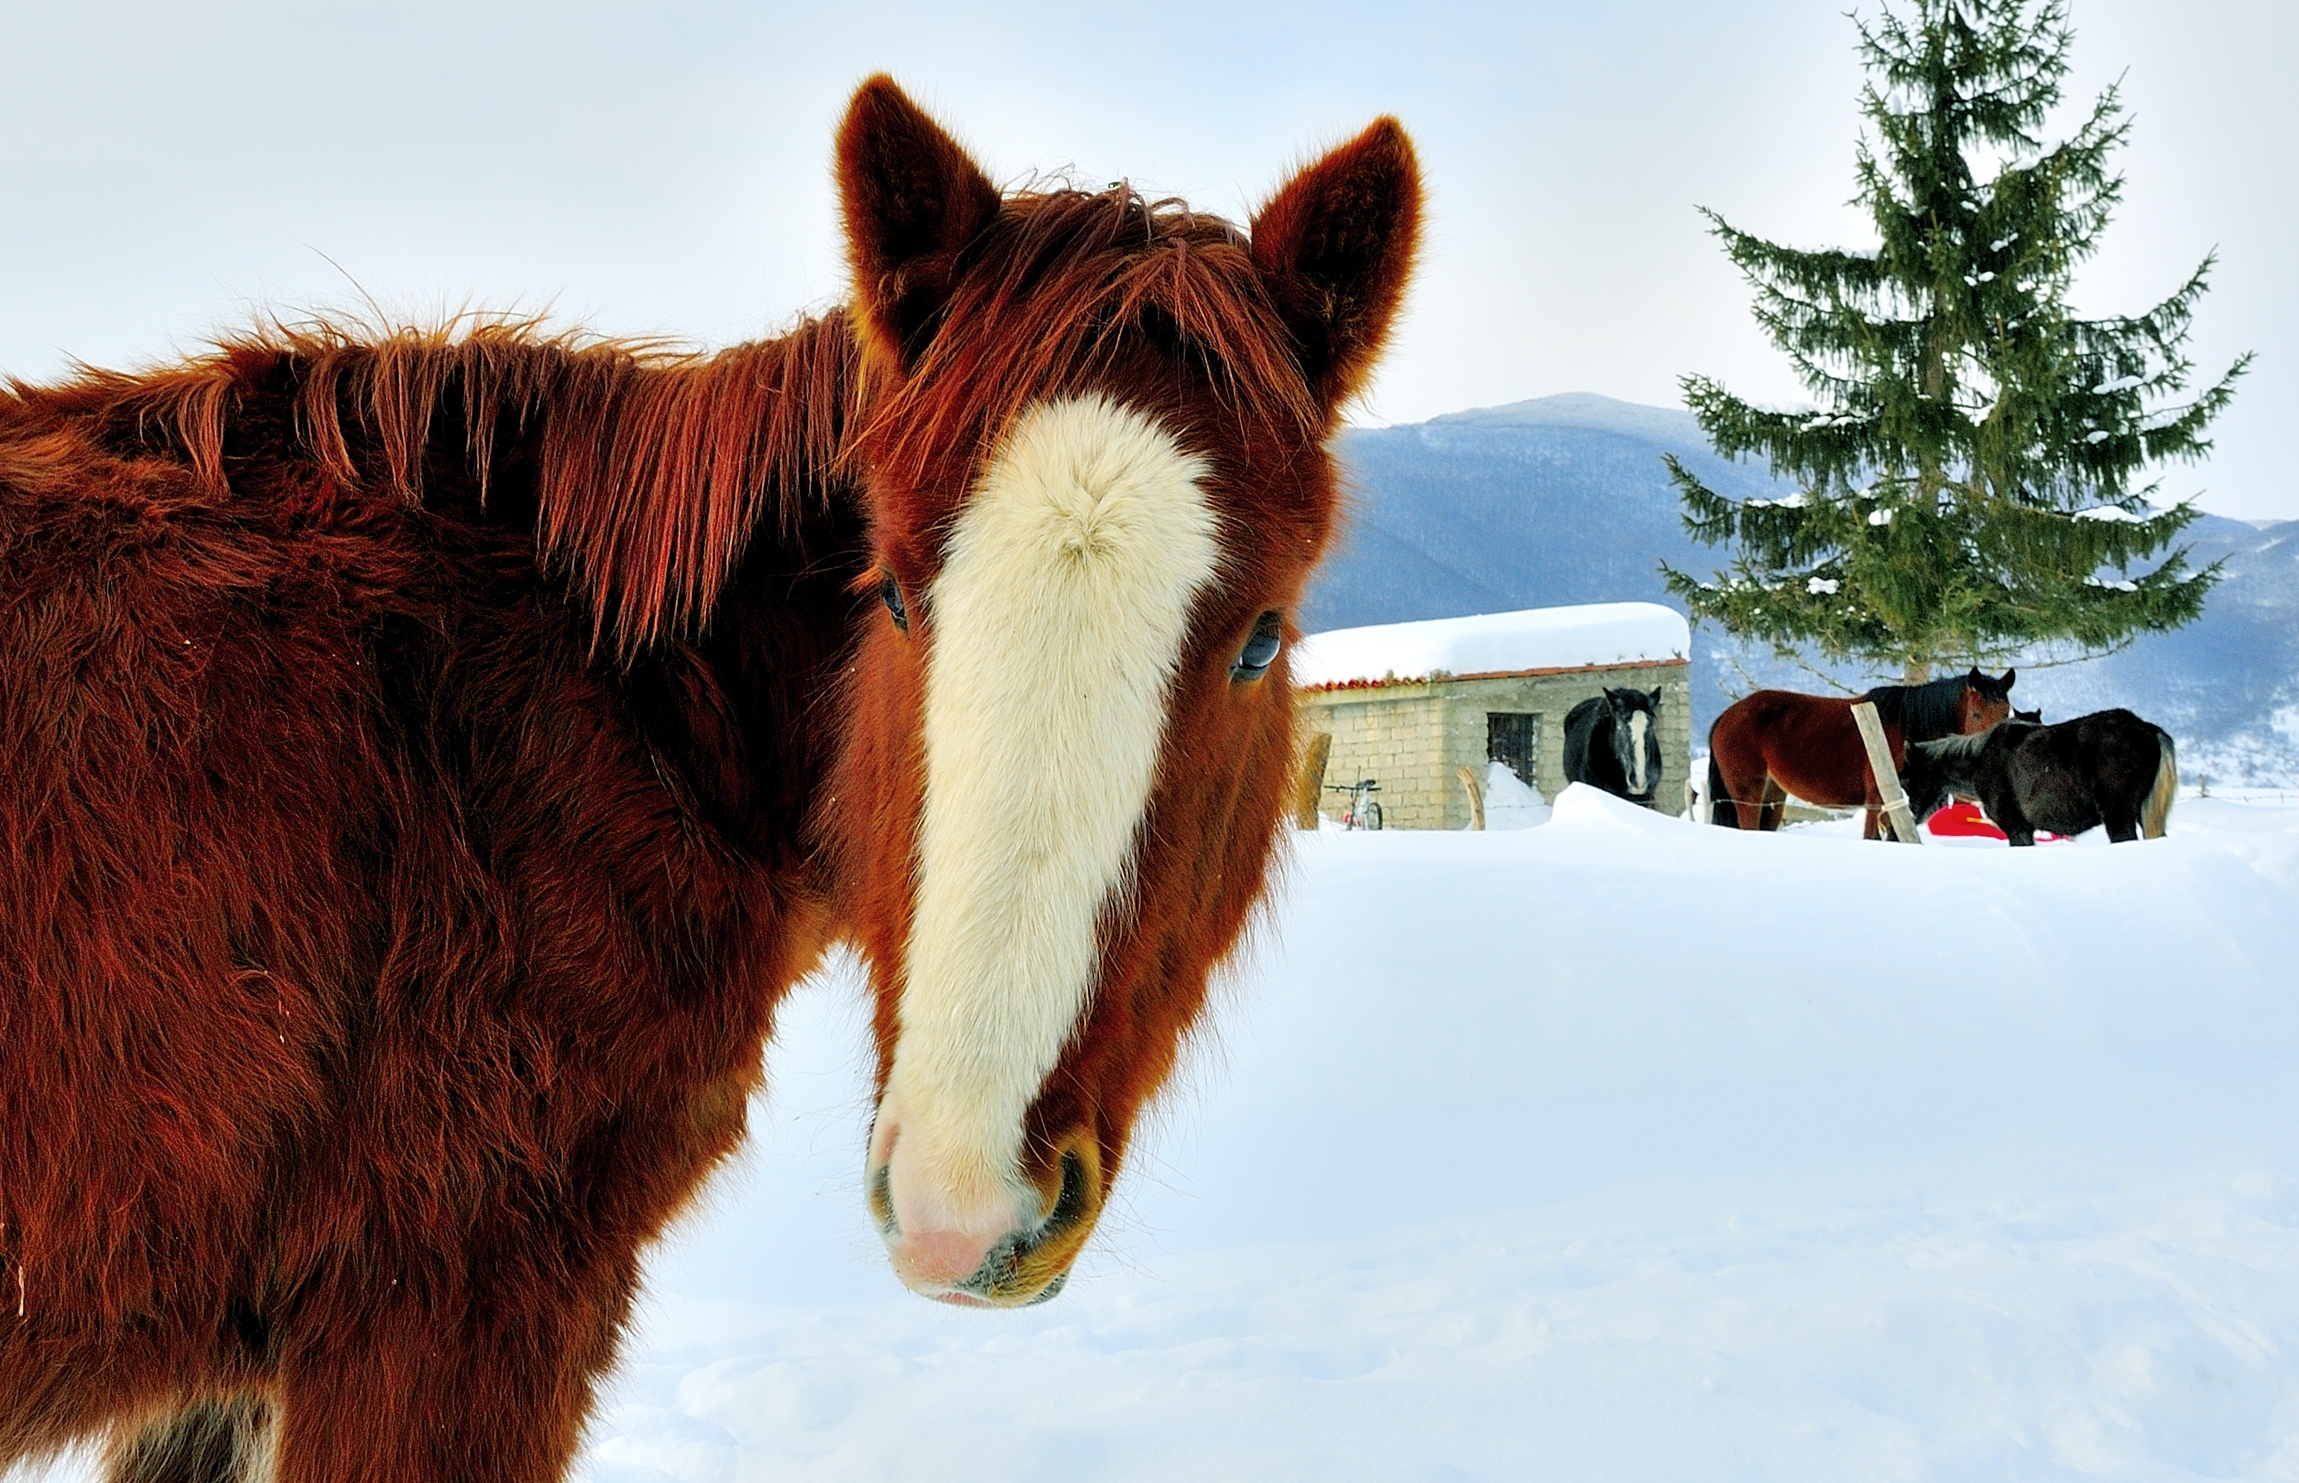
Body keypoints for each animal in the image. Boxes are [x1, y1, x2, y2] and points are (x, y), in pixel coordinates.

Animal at [1706, 668, 2015, 837]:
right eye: (1976, 714)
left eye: (2006, 712)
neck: (1907, 727)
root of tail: (1726, 717)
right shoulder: (1878, 801)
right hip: (1748, 794)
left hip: (1773, 796)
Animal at [1900, 709, 2176, 845]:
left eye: (1906, 779)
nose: (1912, 814)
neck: (1979, 759)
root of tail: (2146, 728)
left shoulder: (2017, 827)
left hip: (2118, 815)